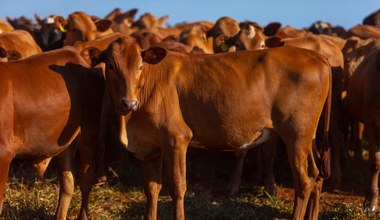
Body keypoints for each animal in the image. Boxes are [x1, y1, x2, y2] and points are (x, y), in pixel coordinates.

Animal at [0, 45, 104, 219]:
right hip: (64, 141)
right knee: (68, 180)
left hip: (89, 129)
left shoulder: (4, 153)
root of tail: (77, 53)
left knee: (86, 177)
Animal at [81, 37, 332, 219]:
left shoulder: (176, 139)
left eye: (140, 66)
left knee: (304, 181)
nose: (128, 103)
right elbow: (151, 189)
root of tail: (315, 55)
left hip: (296, 135)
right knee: (316, 175)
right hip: (306, 137)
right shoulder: (150, 147)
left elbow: (177, 187)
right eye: (110, 66)